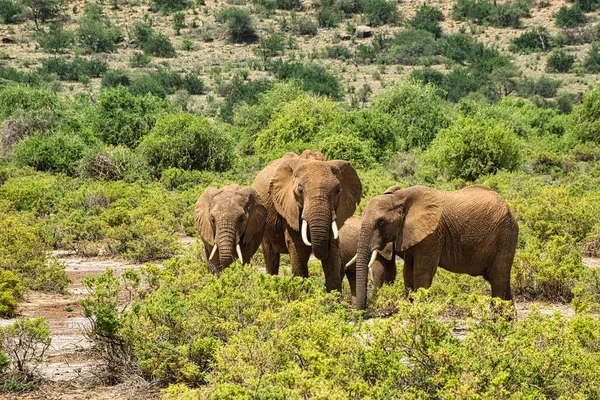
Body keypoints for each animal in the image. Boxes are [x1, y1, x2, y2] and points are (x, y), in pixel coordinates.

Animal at [252, 152, 360, 292]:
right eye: (300, 190)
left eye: (338, 191)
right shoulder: (290, 208)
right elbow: (298, 247)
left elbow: (332, 250)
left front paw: (332, 297)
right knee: (271, 256)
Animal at [354, 184, 516, 310]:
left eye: (381, 223)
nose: (361, 312)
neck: (400, 197)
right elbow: (408, 272)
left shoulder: (432, 235)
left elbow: (421, 272)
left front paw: (422, 312)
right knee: (501, 278)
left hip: (505, 235)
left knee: (498, 278)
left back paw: (495, 322)